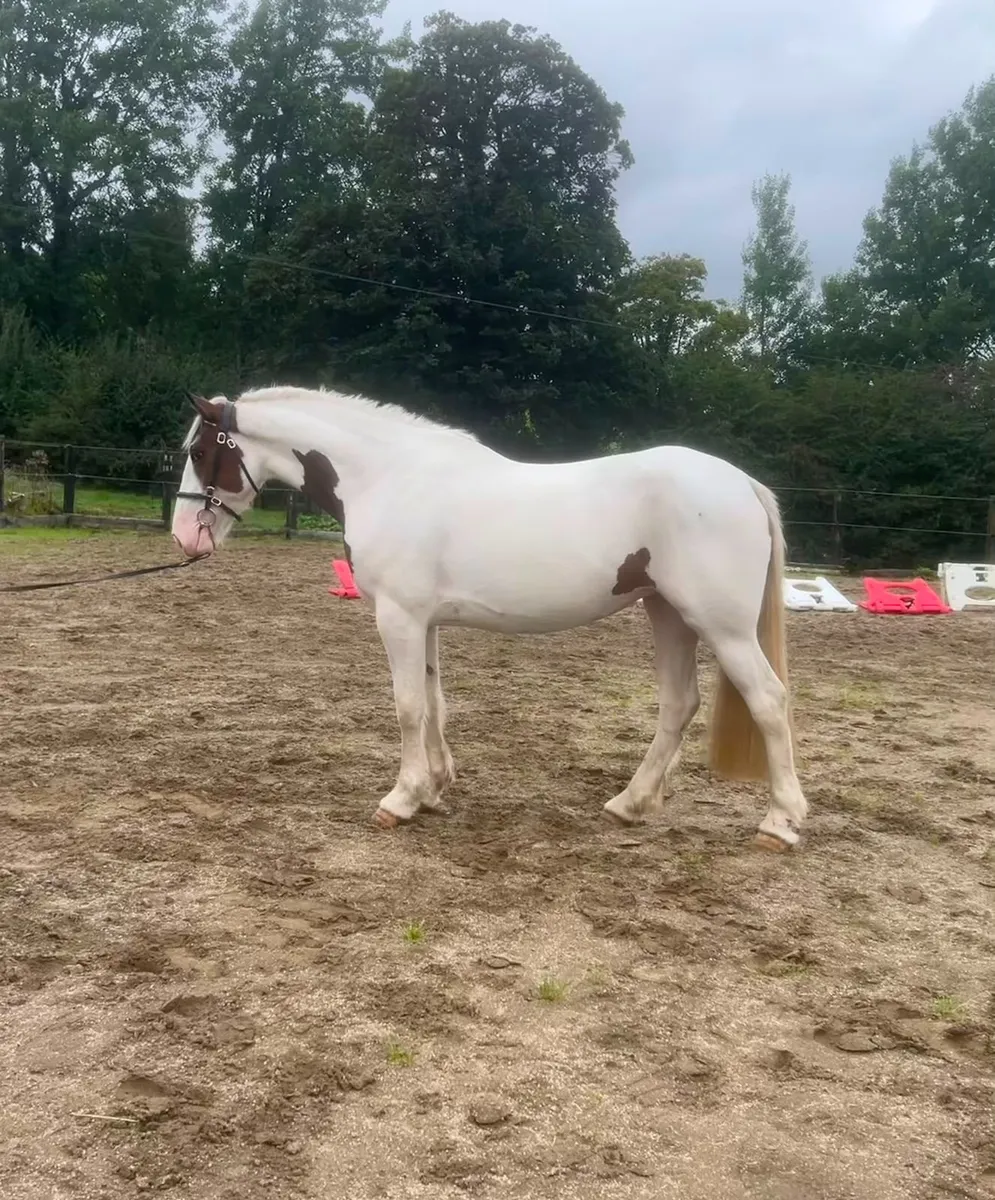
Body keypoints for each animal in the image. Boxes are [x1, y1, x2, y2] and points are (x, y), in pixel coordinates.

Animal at [172, 386, 807, 851]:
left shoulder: (398, 618)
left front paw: (400, 800)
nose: (184, 538)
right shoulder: (423, 621)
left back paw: (780, 823)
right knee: (679, 704)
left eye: (201, 454)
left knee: (769, 701)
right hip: (669, 614)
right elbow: (433, 703)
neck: (387, 480)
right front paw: (433, 789)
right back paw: (628, 805)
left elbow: (407, 707)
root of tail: (741, 484)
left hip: (722, 628)